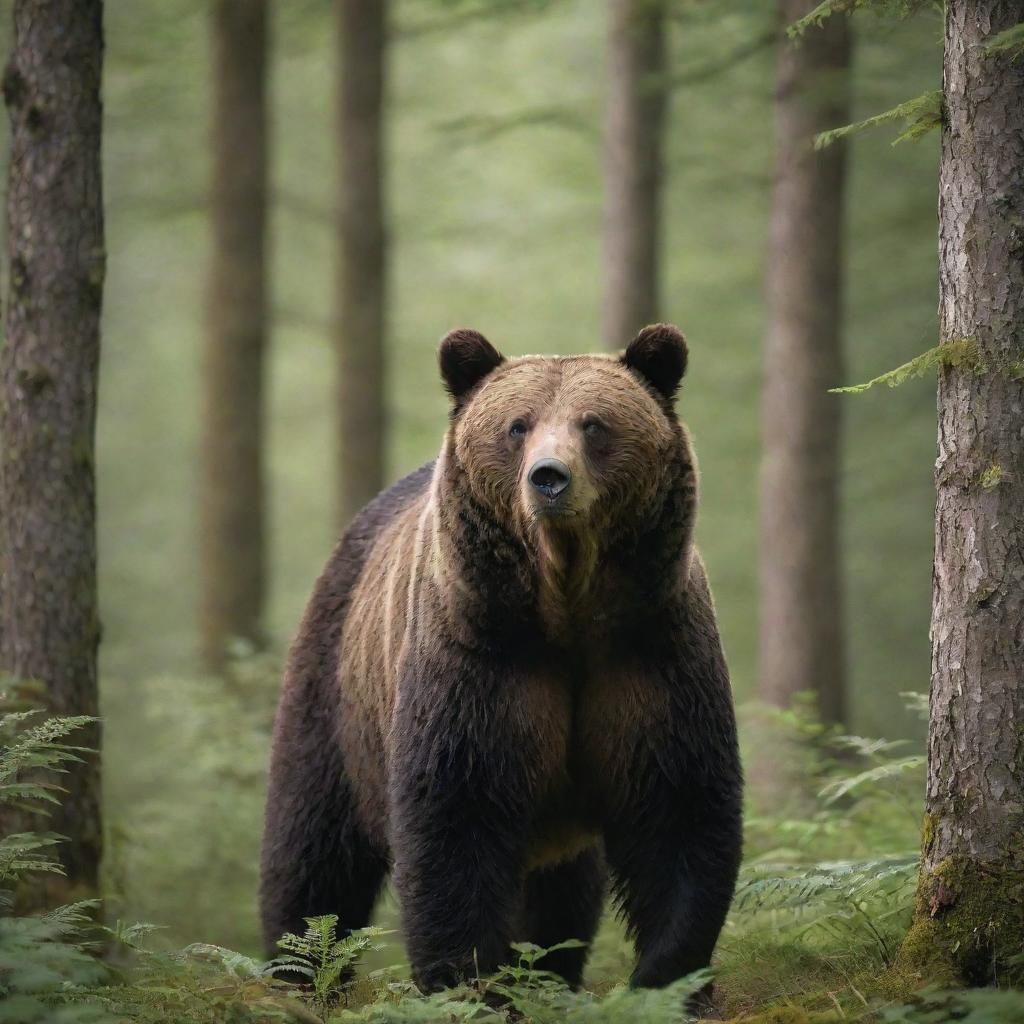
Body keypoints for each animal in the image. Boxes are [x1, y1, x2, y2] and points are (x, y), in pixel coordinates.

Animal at [260, 325, 745, 991]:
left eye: (594, 423)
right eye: (518, 425)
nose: (549, 477)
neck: (566, 606)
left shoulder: (651, 649)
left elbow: (680, 806)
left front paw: (666, 980)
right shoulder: (481, 659)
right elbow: (456, 819)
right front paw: (467, 983)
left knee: (560, 897)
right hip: (336, 690)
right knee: (313, 847)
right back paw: (296, 975)